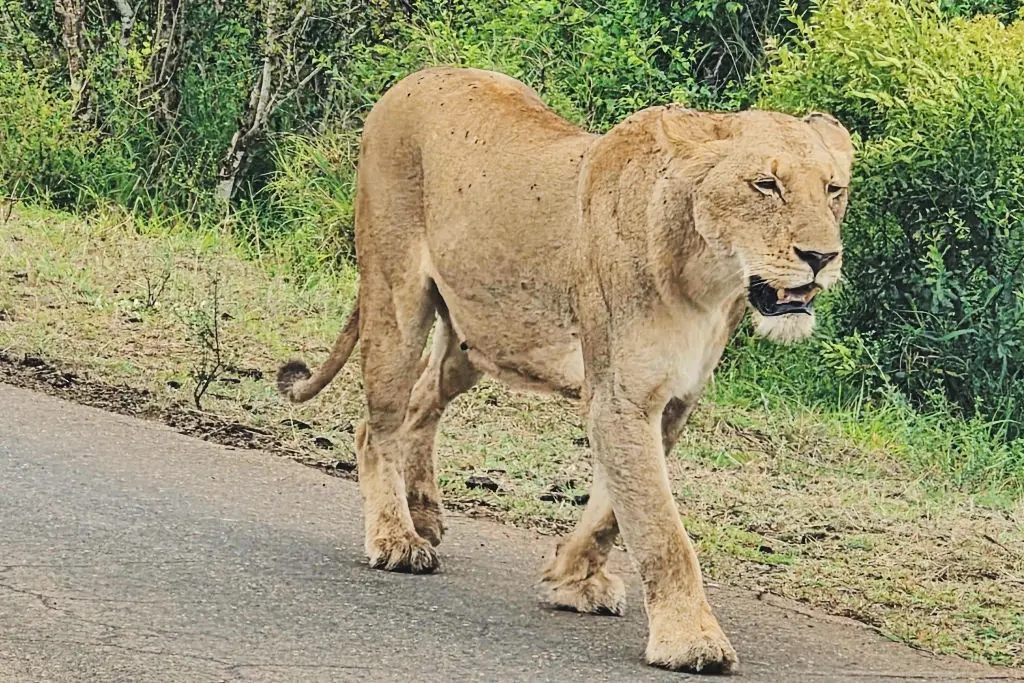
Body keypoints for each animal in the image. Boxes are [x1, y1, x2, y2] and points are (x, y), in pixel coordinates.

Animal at [277, 67, 853, 674]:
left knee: (420, 404)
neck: (708, 281)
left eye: (833, 189)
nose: (821, 258)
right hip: (396, 298)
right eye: (766, 185)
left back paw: (424, 515)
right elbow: (661, 528)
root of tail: (416, 76)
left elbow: (611, 512)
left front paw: (571, 579)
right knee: (376, 425)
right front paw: (691, 640)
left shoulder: (672, 400)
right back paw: (396, 538)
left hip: (479, 337)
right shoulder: (621, 397)